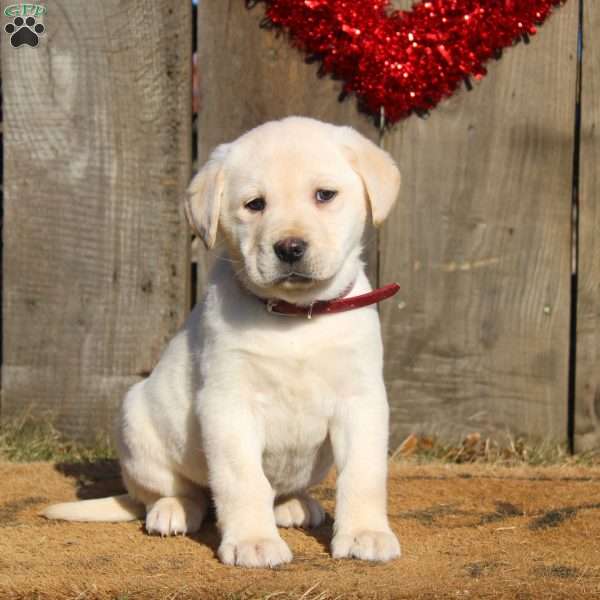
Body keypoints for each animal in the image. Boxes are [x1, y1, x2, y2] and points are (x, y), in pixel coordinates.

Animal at [43, 116, 404, 568]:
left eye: (325, 195)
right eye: (255, 204)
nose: (289, 248)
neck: (297, 316)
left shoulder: (361, 399)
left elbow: (363, 474)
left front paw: (365, 533)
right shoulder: (228, 404)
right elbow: (242, 479)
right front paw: (254, 541)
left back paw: (293, 504)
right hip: (138, 424)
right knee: (175, 491)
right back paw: (173, 509)